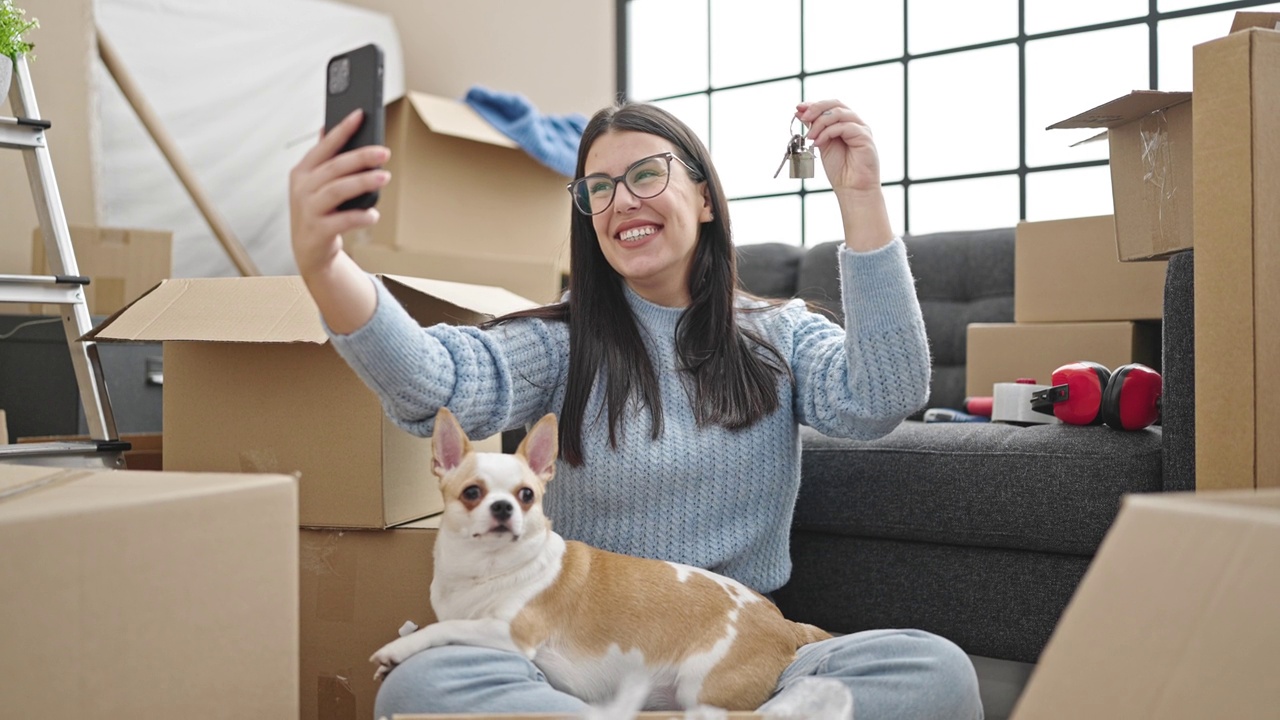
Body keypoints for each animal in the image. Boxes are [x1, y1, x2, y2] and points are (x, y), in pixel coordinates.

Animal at [371, 407, 829, 707]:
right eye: (471, 492)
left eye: (527, 495)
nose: (504, 507)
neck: (487, 570)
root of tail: (783, 623)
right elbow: (443, 622)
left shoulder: (510, 634)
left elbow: (441, 628)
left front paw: (397, 649)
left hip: (703, 689)